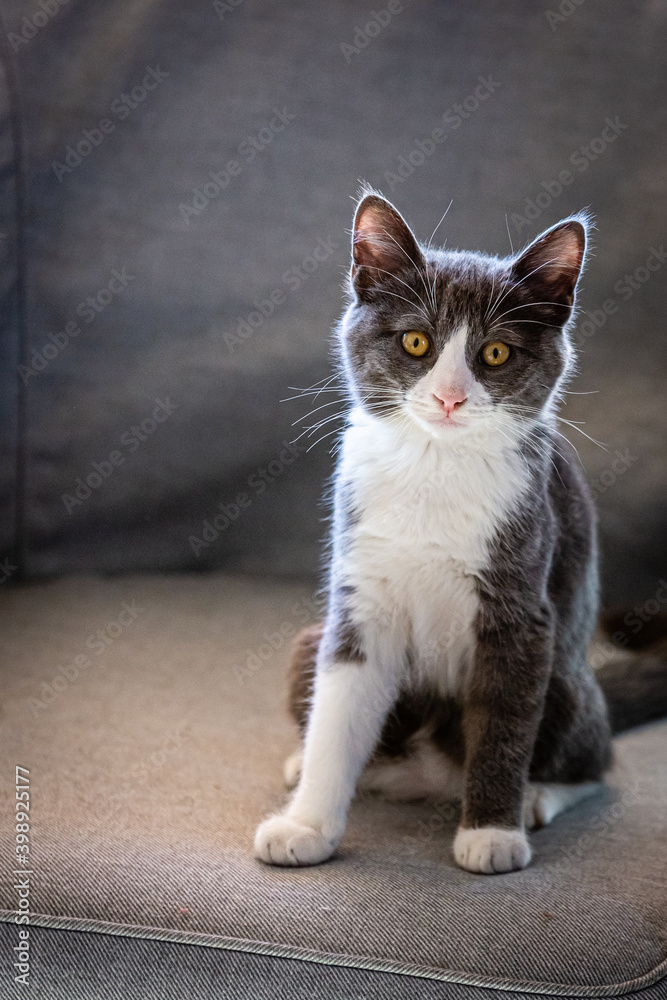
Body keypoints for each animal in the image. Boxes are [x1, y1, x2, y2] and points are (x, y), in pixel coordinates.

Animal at [254, 188, 616, 876]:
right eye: (417, 342)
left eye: (496, 353)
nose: (450, 398)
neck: (435, 469)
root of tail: (429, 779)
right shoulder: (358, 594)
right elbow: (338, 709)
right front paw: (307, 824)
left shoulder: (522, 606)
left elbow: (504, 720)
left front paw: (492, 834)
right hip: (306, 647)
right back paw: (307, 763)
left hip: (567, 678)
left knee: (599, 758)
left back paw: (540, 795)